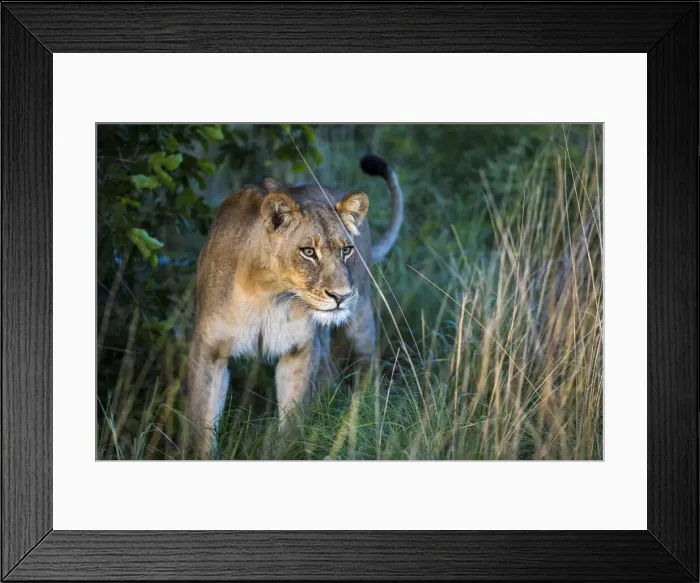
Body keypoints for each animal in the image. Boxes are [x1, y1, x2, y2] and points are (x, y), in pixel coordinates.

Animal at [186, 154, 404, 459]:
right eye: (308, 252)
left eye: (346, 250)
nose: (341, 296)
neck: (267, 294)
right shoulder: (208, 350)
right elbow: (201, 425)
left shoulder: (300, 348)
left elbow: (291, 423)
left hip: (360, 320)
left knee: (366, 367)